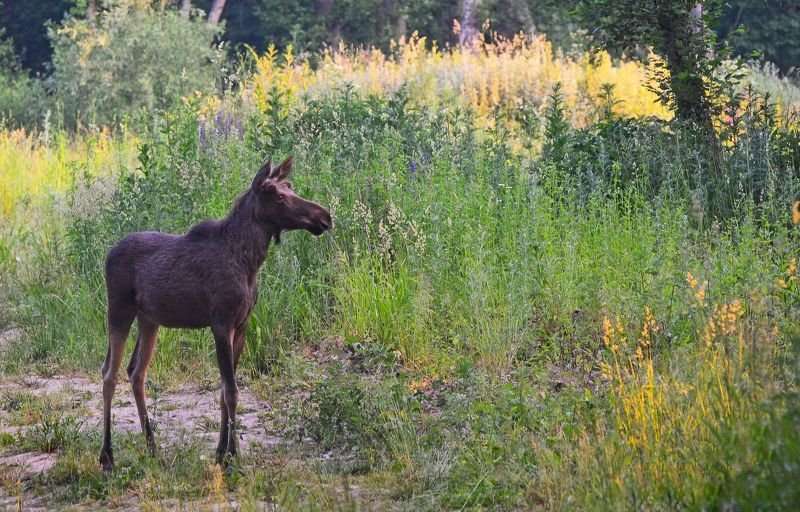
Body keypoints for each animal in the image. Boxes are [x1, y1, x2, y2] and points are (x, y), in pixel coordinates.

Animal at [99, 156, 331, 472]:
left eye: (291, 186)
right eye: (279, 196)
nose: (324, 217)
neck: (249, 262)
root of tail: (107, 255)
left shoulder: (241, 325)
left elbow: (223, 392)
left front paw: (221, 452)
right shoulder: (221, 323)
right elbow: (231, 392)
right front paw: (233, 456)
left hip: (149, 320)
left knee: (136, 372)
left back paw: (153, 448)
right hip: (119, 309)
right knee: (109, 374)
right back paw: (107, 456)